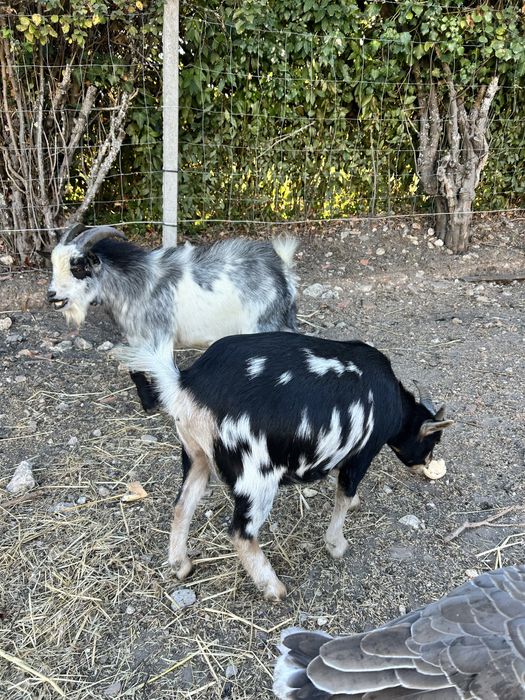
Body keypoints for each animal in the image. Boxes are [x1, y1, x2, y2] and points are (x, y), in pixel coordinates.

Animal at [47, 225, 298, 412]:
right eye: (53, 264)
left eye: (78, 266)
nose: (52, 295)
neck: (138, 284)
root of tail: (282, 271)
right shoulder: (136, 337)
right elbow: (136, 368)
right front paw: (148, 403)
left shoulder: (160, 337)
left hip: (262, 324)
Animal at [115, 332, 453, 602]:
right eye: (432, 442)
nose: (426, 467)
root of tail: (186, 383)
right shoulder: (363, 451)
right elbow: (344, 493)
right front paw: (337, 545)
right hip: (255, 476)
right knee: (240, 532)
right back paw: (273, 588)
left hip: (195, 455)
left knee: (182, 506)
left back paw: (181, 566)